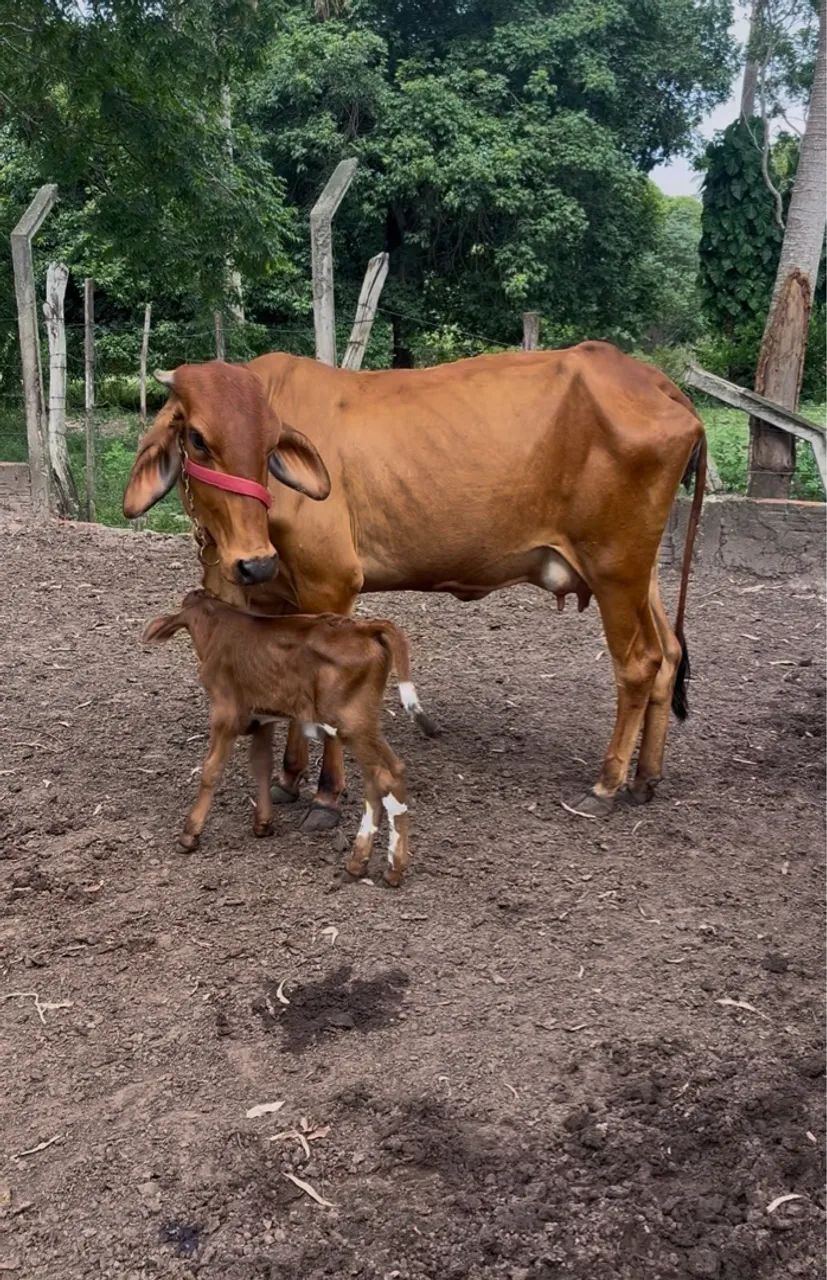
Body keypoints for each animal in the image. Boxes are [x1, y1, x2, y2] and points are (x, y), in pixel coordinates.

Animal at [123, 341, 707, 826]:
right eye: (198, 440)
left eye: (270, 445)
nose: (254, 562)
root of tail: (652, 380)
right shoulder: (272, 598)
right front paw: (289, 778)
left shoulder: (331, 585)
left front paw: (325, 796)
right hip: (639, 570)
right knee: (668, 655)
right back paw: (645, 780)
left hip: (615, 566)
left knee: (639, 663)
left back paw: (606, 785)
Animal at [142, 589, 433, 884]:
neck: (217, 624)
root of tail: (364, 627)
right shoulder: (262, 719)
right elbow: (261, 765)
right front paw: (263, 823)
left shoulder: (225, 714)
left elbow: (211, 770)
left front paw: (190, 833)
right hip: (364, 725)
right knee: (384, 776)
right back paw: (358, 863)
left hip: (352, 724)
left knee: (386, 777)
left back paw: (392, 868)